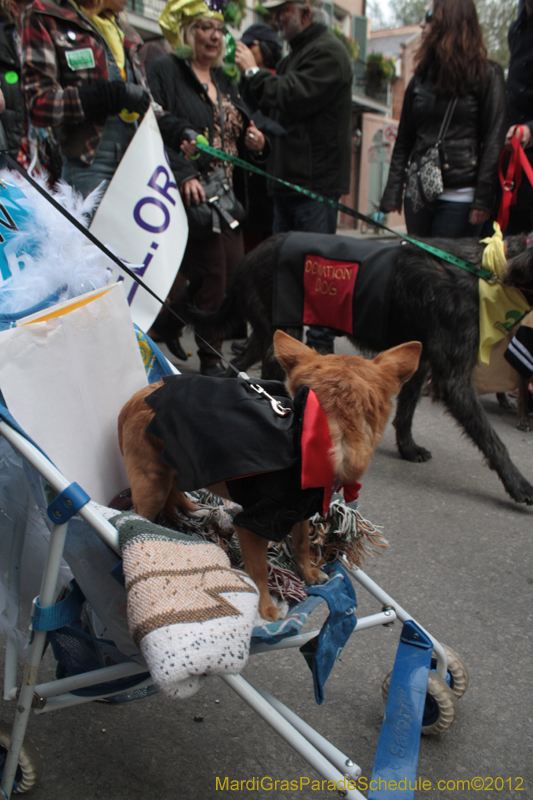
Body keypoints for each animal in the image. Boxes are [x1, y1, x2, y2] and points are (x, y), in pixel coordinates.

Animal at [118, 330, 422, 620]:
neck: (309, 431)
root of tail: (133, 400)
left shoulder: (299, 511)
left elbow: (301, 544)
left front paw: (308, 574)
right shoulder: (251, 524)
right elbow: (259, 572)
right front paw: (265, 607)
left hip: (179, 468)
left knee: (174, 493)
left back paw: (189, 509)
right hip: (152, 486)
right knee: (138, 514)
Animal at [182, 233, 532, 506]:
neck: (489, 272)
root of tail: (248, 256)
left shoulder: (420, 361)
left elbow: (406, 411)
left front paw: (408, 448)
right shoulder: (454, 378)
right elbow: (492, 440)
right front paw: (519, 485)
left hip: (265, 335)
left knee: (238, 368)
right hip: (281, 336)